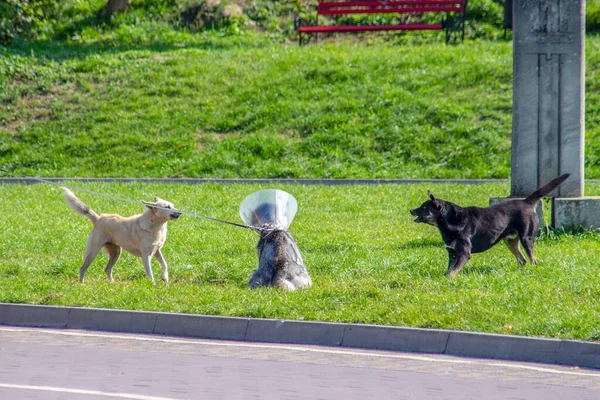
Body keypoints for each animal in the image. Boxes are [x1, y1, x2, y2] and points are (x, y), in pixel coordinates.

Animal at [410, 173, 568, 276]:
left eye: (424, 207)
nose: (411, 210)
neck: (450, 220)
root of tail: (526, 201)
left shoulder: (464, 254)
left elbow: (453, 272)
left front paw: (449, 280)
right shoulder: (453, 253)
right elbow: (450, 270)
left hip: (526, 238)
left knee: (532, 260)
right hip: (510, 241)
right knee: (522, 260)